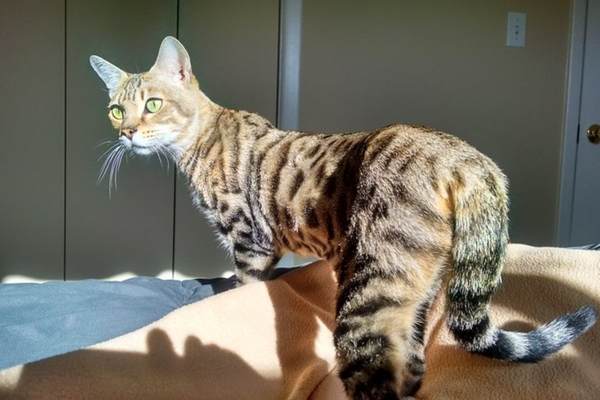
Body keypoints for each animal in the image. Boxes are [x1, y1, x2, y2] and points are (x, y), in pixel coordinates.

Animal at [89, 36, 596, 398]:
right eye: (115, 109)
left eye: (153, 103)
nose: (127, 132)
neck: (199, 140)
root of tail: (468, 158)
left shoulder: (251, 241)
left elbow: (244, 286)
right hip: (418, 292)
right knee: (410, 367)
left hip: (366, 292)